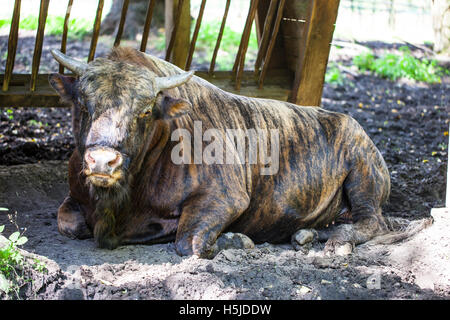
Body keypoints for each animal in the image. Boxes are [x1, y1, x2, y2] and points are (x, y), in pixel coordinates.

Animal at [47, 47, 388, 258]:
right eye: (83, 103)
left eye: (144, 111)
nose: (102, 162)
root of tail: (348, 120)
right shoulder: (74, 196)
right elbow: (69, 223)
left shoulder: (225, 197)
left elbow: (191, 243)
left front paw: (236, 240)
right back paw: (308, 234)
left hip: (363, 179)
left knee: (372, 222)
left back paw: (336, 240)